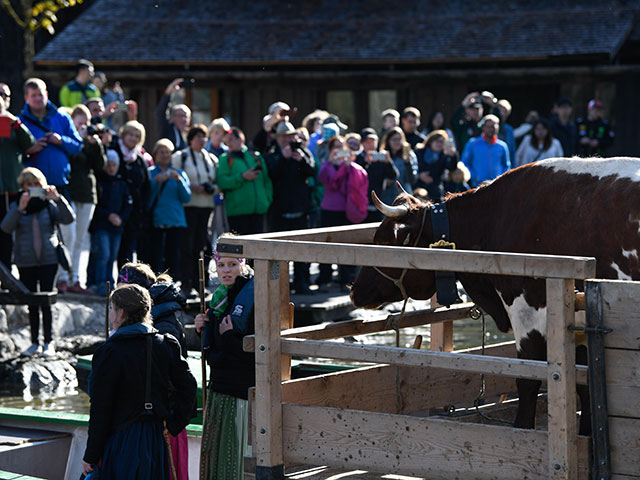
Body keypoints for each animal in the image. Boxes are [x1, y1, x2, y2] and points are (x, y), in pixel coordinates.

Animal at [350, 158, 640, 436]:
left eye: (381, 242)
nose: (354, 291)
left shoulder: (527, 311)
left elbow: (528, 380)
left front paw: (522, 434)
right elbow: (583, 387)